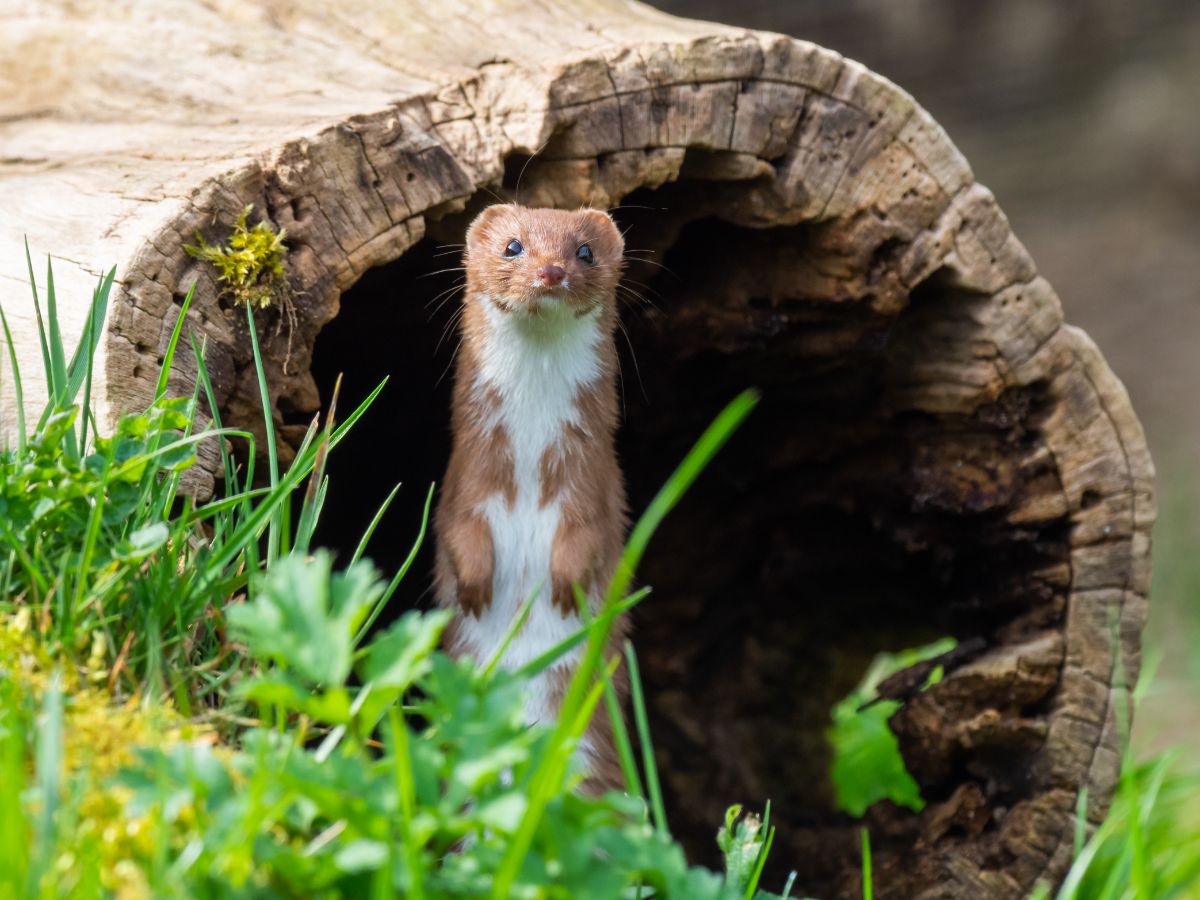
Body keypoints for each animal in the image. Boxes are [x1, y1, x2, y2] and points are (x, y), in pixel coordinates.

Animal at [436, 206, 633, 796]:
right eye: (513, 246)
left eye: (584, 251)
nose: (551, 271)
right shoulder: (465, 479)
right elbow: (457, 530)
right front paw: (475, 584)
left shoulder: (593, 483)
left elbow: (589, 535)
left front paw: (566, 583)